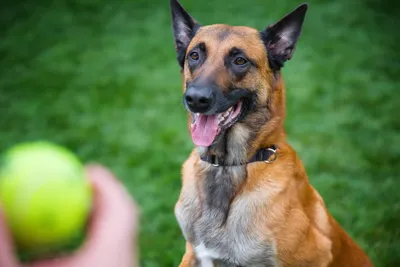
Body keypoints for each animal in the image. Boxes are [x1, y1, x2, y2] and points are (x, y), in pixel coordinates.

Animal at [170, 1, 376, 266]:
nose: (196, 99)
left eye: (239, 60)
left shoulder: (317, 255)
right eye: (194, 56)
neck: (228, 166)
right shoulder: (193, 254)